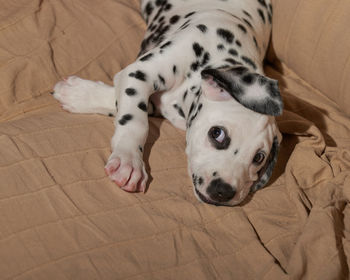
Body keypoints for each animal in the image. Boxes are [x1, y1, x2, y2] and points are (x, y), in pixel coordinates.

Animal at [52, 0, 282, 206]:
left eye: (259, 158)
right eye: (217, 133)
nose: (223, 191)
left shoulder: (157, 103)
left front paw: (76, 93)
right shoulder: (139, 73)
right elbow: (136, 121)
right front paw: (129, 160)